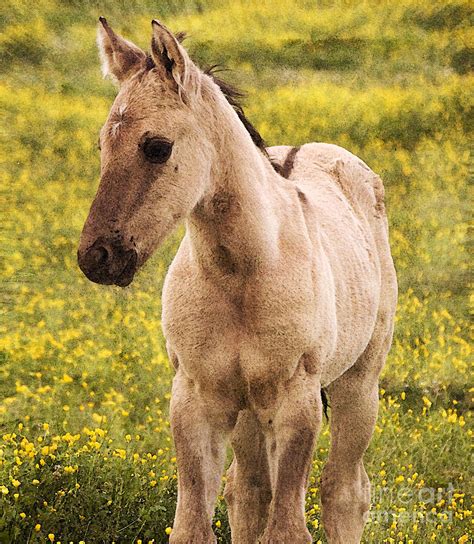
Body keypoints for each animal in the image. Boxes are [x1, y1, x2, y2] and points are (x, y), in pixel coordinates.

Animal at [78, 17, 396, 544]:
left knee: (345, 490)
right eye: (102, 145)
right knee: (247, 490)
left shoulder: (296, 401)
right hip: (247, 410)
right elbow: (193, 525)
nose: (96, 257)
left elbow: (287, 528)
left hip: (358, 384)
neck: (244, 272)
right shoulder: (195, 398)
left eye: (157, 147)